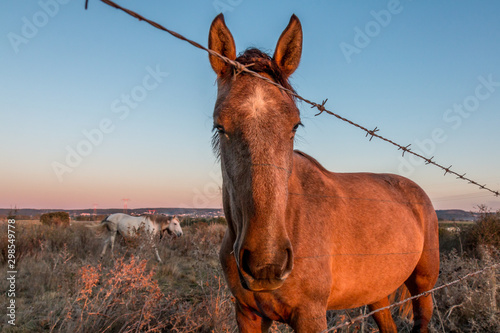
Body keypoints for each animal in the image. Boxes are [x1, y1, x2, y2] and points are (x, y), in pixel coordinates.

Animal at [209, 13, 440, 332]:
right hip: (377, 294)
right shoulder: (248, 314)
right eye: (220, 126)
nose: (266, 265)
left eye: (295, 125)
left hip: (424, 287)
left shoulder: (311, 315)